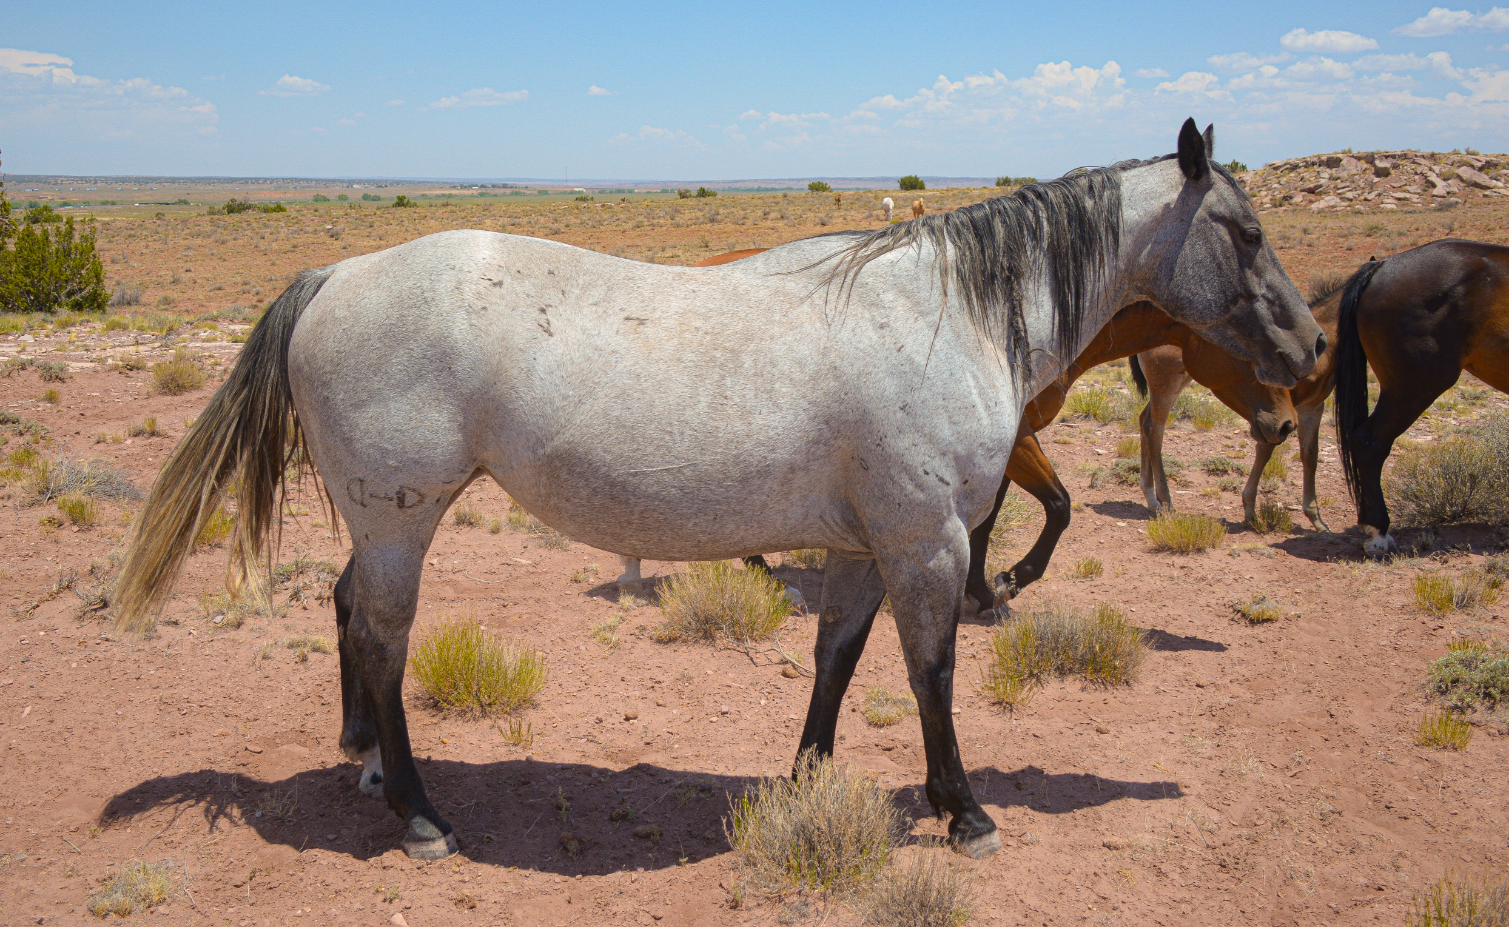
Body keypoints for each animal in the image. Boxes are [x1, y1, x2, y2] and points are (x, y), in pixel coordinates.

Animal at [1125, 278, 1343, 529]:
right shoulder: (1278, 414)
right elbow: (1267, 449)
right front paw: (1250, 510)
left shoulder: (1312, 408)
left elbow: (1310, 455)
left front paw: (1318, 520)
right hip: (1166, 385)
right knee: (1155, 429)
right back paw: (1166, 501)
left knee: (1144, 420)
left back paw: (1151, 498)